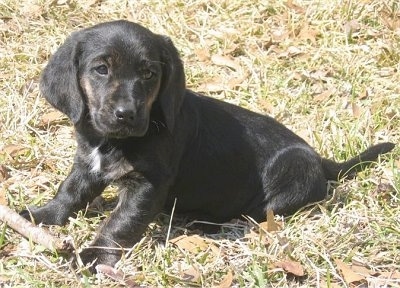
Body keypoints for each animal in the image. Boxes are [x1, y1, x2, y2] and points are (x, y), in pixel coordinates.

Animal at [21, 19, 394, 270]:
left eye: (149, 74)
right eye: (101, 69)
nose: (126, 114)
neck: (111, 141)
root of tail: (321, 161)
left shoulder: (148, 185)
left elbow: (120, 221)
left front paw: (93, 255)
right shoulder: (87, 164)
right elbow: (69, 192)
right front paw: (40, 215)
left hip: (290, 172)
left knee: (258, 211)